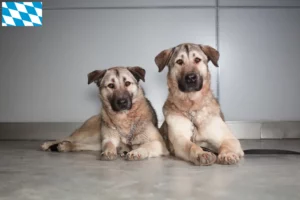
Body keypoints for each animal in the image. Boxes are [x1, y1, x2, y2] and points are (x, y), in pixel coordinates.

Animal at [40, 66, 169, 160]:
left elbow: (146, 145)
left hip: (94, 142)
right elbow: (108, 144)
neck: (124, 118)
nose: (122, 102)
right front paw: (109, 151)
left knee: (80, 144)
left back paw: (65, 146)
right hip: (88, 134)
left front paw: (136, 152)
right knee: (69, 138)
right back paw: (50, 144)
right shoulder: (108, 139)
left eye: (127, 83)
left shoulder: (159, 143)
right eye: (111, 86)